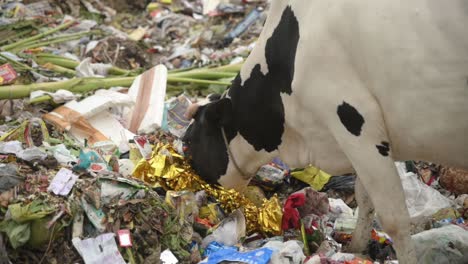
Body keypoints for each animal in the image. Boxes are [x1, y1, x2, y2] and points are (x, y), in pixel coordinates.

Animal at [182, 1, 468, 262]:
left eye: (187, 142)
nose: (188, 171)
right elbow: (365, 198)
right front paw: (356, 246)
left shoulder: (354, 125)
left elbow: (394, 218)